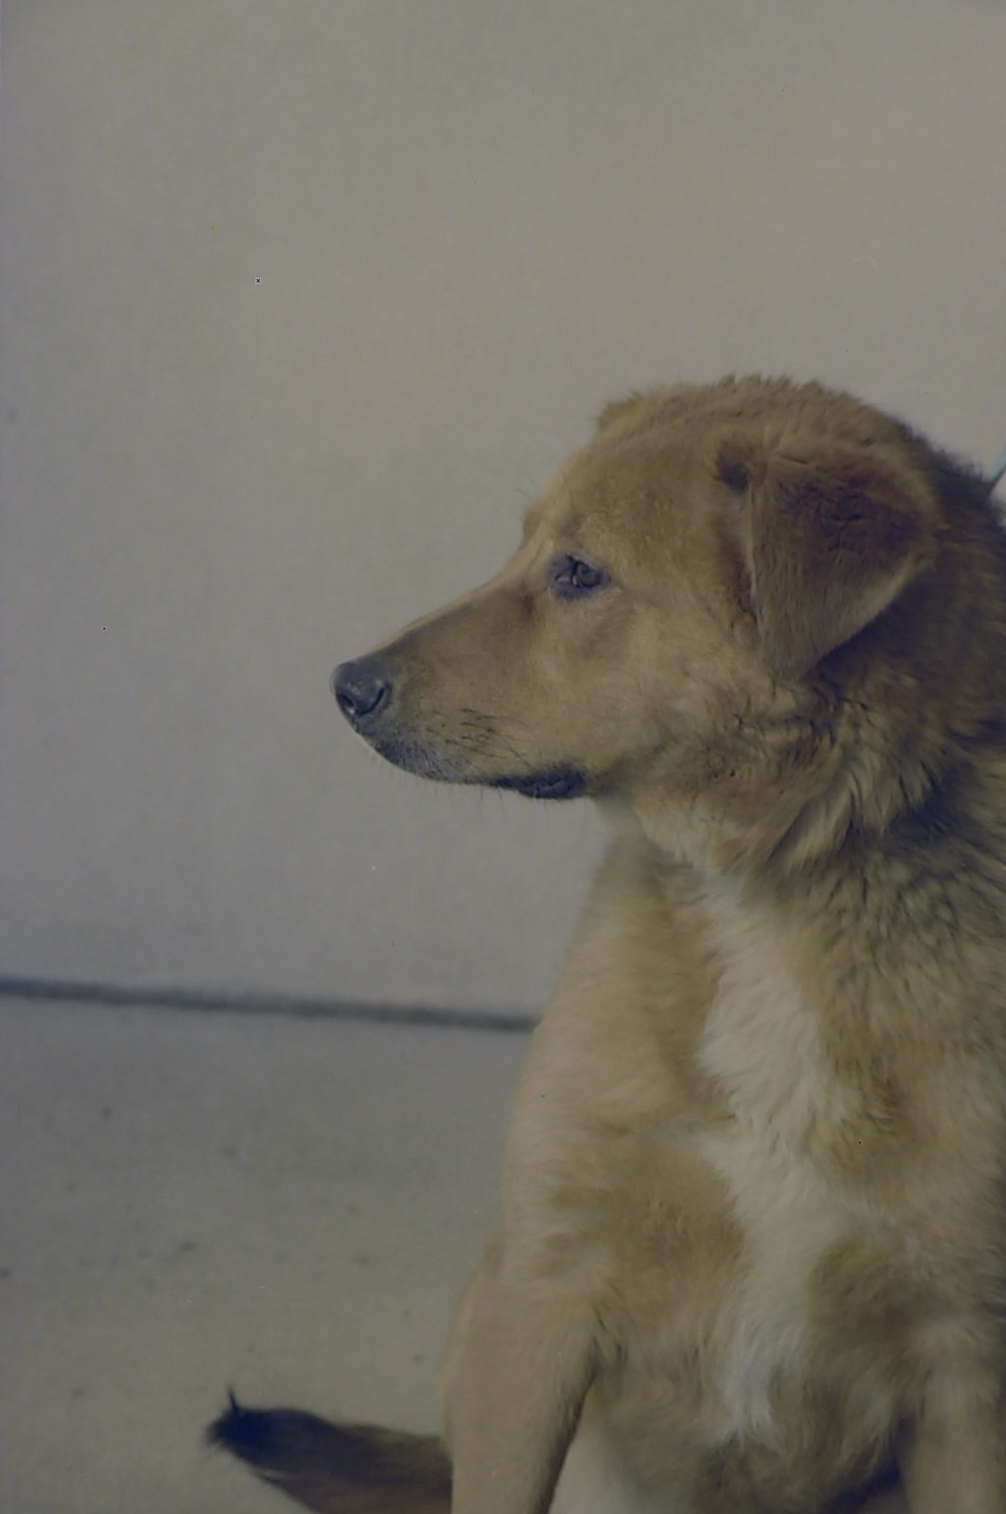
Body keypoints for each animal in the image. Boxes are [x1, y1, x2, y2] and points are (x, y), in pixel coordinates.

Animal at [211, 377, 1006, 1513]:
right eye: (524, 546)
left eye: (580, 573)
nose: (346, 686)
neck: (765, 883)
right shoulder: (541, 1288)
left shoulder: (965, 1363)